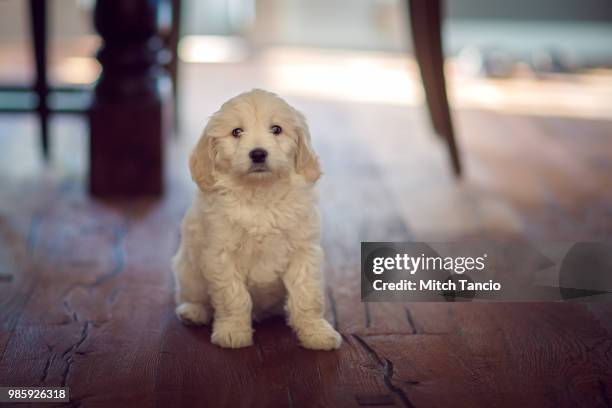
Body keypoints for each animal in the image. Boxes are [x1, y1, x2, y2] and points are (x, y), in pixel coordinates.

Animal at [172, 89, 342, 350]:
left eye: (276, 129)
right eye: (236, 132)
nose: (258, 153)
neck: (261, 195)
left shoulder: (303, 251)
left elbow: (306, 294)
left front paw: (316, 332)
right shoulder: (221, 254)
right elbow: (233, 296)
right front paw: (233, 331)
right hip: (188, 272)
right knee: (194, 295)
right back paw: (194, 311)